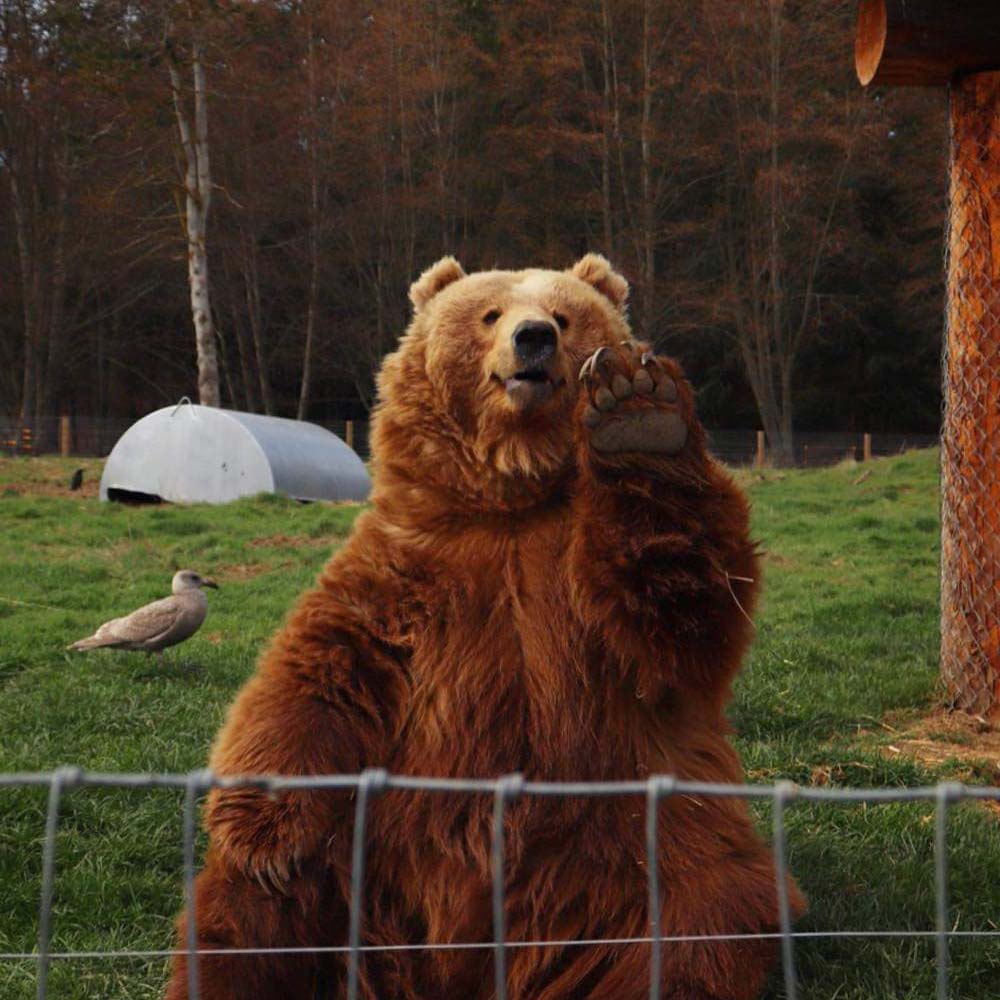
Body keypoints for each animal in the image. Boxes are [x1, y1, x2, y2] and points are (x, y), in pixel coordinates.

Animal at [164, 256, 804, 1000]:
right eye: (490, 313)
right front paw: (263, 830)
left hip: (642, 846)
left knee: (701, 921)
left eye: (563, 315)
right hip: (362, 867)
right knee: (251, 917)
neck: (511, 501)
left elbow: (681, 610)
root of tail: (475, 963)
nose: (534, 339)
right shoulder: (403, 573)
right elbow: (315, 677)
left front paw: (638, 414)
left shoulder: (582, 599)